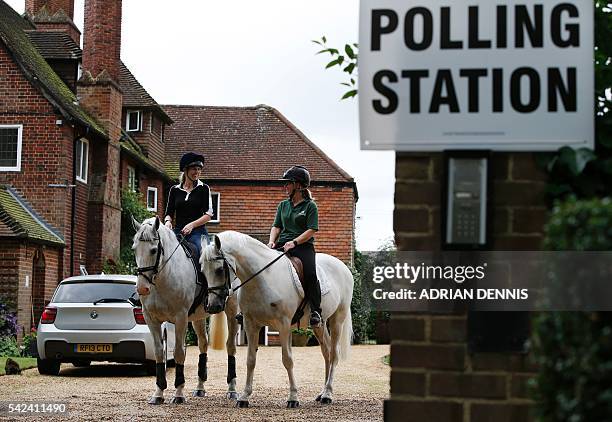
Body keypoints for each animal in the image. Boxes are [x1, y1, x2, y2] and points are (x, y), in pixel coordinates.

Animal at [133, 218, 240, 406]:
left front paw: (178, 393)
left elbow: (179, 353)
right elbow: (159, 353)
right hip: (198, 317)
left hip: (231, 311)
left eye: (153, 250)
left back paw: (232, 389)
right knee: (203, 344)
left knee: (231, 347)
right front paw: (158, 393)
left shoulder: (180, 318)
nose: (142, 289)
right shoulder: (151, 319)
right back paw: (200, 388)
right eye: (134, 249)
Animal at [202, 229, 354, 408]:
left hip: (337, 319)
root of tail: (343, 267)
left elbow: (287, 359)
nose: (213, 306)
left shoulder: (283, 324)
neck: (262, 277)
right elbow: (250, 360)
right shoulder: (250, 324)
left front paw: (293, 398)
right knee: (327, 352)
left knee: (334, 354)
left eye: (219, 269)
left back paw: (328, 394)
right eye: (203, 271)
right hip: (320, 324)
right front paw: (244, 397)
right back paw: (322, 393)